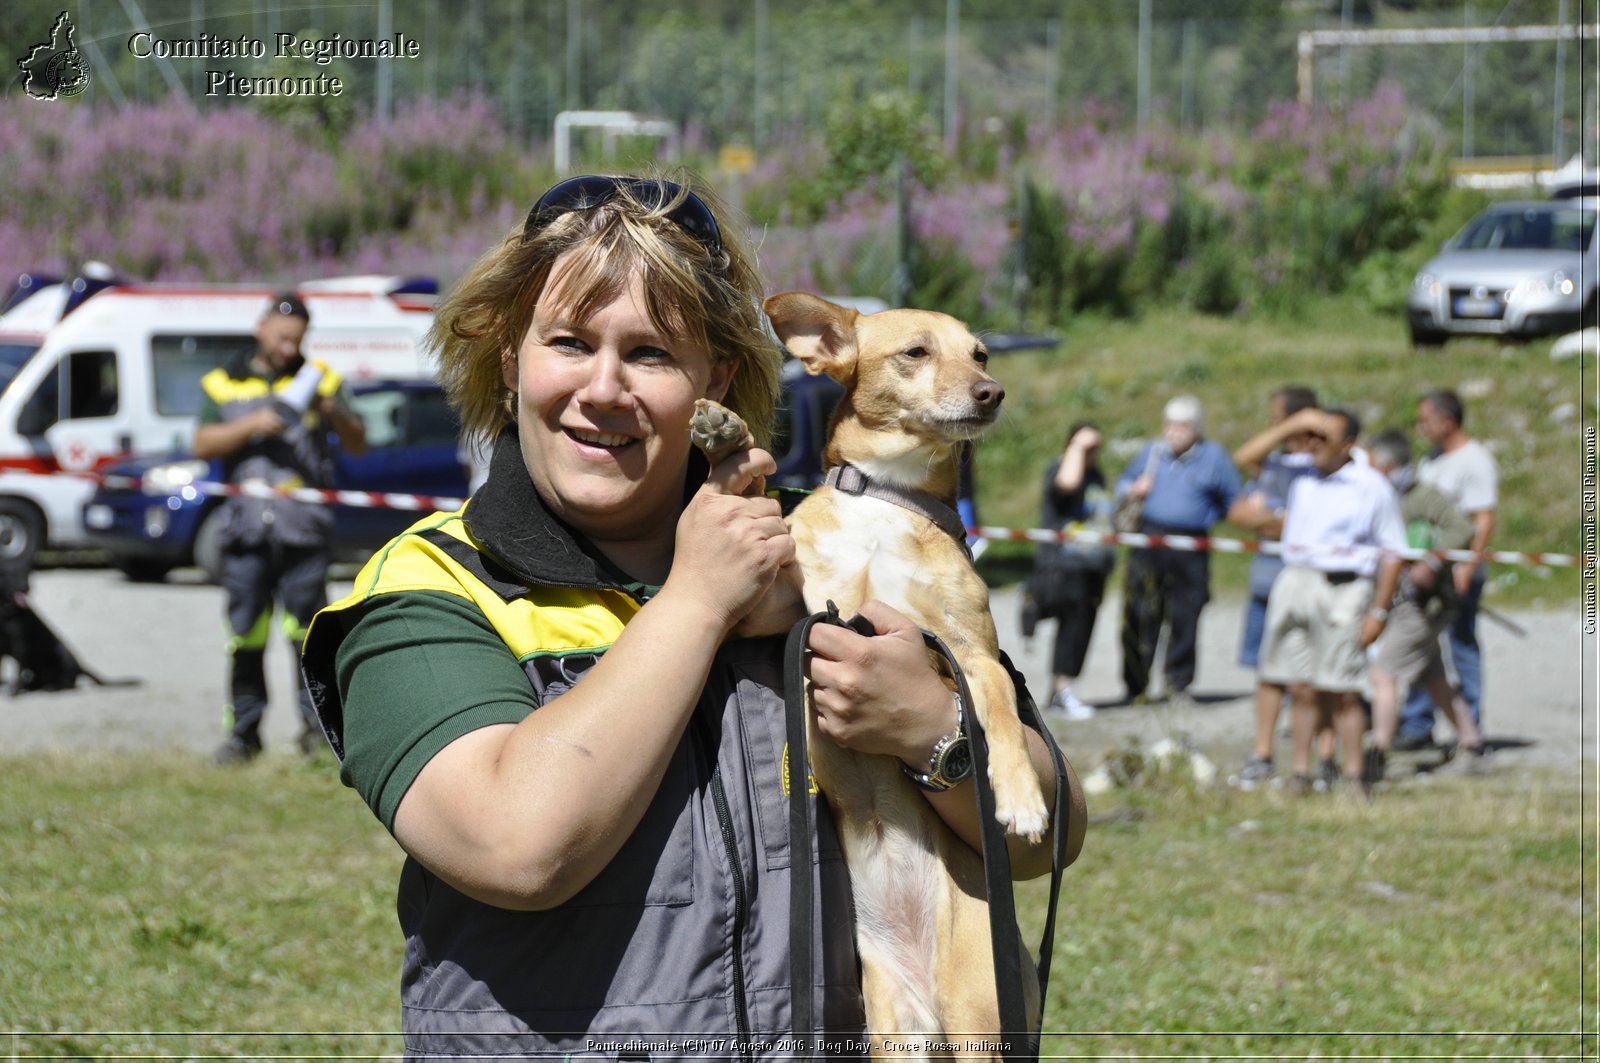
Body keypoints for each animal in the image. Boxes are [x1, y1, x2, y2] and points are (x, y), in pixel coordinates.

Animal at [764, 288, 1049, 1056]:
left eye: (981, 353)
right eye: (916, 352)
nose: (992, 391)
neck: (886, 498)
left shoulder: (971, 652)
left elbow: (1000, 709)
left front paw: (1021, 796)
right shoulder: (793, 606)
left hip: (982, 1018)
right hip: (896, 1031)